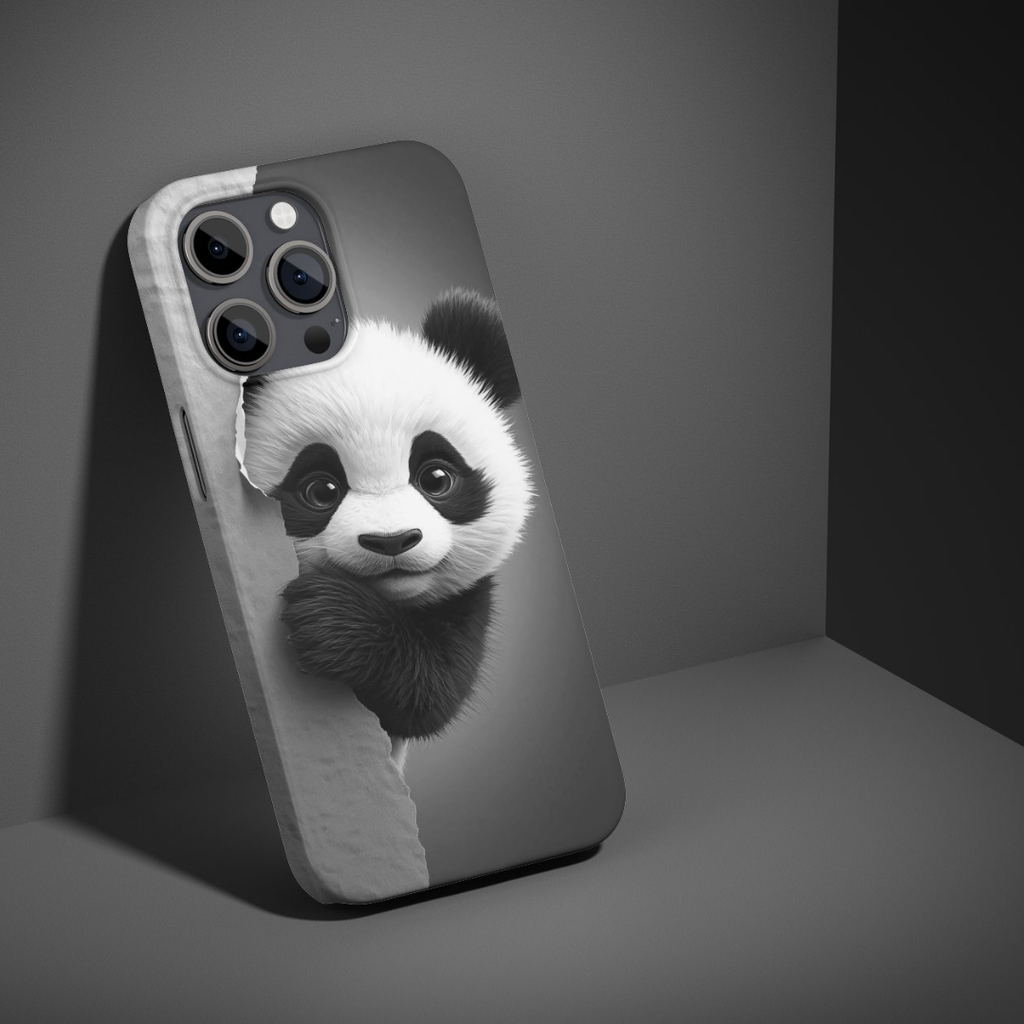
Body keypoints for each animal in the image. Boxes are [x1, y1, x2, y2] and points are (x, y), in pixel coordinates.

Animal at [240, 288, 533, 772]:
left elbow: (431, 692)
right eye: (321, 489)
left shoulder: (467, 597)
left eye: (436, 478)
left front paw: (328, 618)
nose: (392, 541)